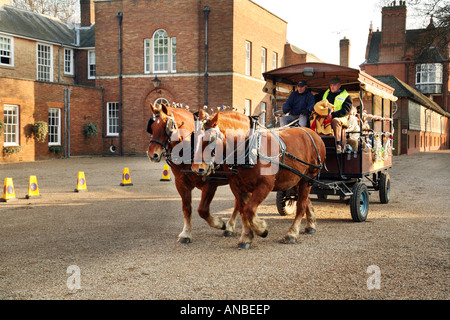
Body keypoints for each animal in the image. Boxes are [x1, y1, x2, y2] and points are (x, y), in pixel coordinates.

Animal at [147, 105, 250, 242]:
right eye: (152, 126)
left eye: (166, 126)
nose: (152, 154)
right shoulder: (181, 184)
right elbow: (186, 208)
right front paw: (186, 233)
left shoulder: (210, 183)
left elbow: (202, 210)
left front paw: (219, 223)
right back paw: (231, 227)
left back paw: (229, 226)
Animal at [192, 110, 326, 250]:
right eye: (194, 138)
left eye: (211, 139)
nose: (197, 168)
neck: (251, 148)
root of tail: (312, 134)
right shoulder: (237, 186)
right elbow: (243, 211)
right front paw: (246, 237)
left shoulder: (265, 185)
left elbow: (249, 210)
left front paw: (261, 229)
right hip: (296, 179)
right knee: (305, 201)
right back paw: (310, 225)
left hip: (308, 178)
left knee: (301, 205)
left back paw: (292, 234)